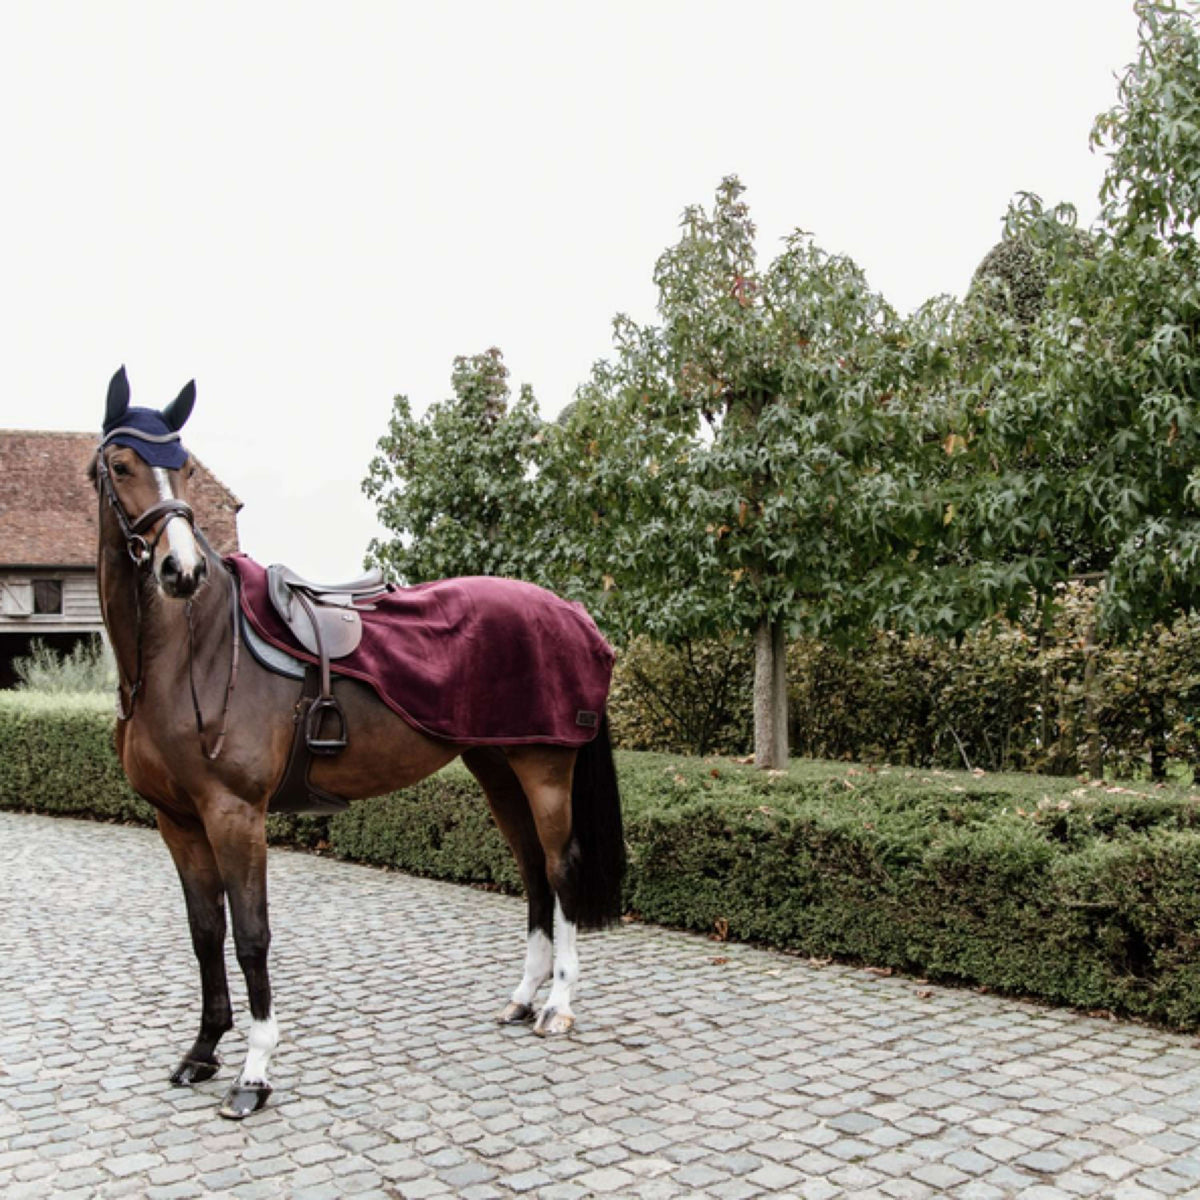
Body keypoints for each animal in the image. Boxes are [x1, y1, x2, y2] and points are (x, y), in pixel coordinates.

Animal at [88, 369, 624, 1118]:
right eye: (120, 464)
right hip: (498, 767)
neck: (189, 654)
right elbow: (205, 934)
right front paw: (202, 1052)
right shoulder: (178, 821)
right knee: (532, 875)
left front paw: (254, 1072)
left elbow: (251, 936)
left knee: (562, 870)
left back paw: (559, 1008)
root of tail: (572, 612)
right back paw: (523, 999)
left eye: (184, 466)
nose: (180, 570)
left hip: (545, 770)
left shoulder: (235, 815)